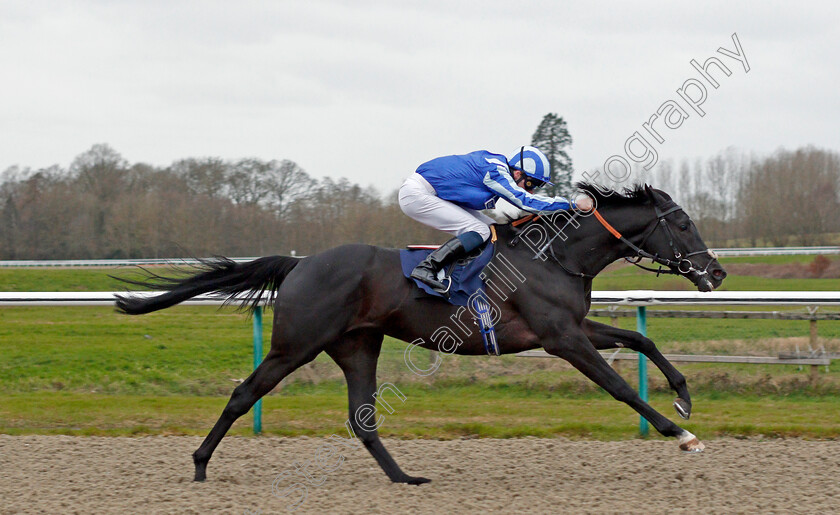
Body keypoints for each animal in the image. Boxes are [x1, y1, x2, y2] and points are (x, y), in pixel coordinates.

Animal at [115, 184, 724, 484]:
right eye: (683, 222)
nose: (716, 272)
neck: (554, 257)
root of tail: (300, 263)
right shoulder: (561, 338)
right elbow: (619, 388)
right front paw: (681, 434)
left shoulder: (572, 328)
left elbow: (641, 341)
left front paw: (685, 397)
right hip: (296, 344)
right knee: (245, 394)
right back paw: (199, 465)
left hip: (357, 345)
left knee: (361, 418)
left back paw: (405, 478)